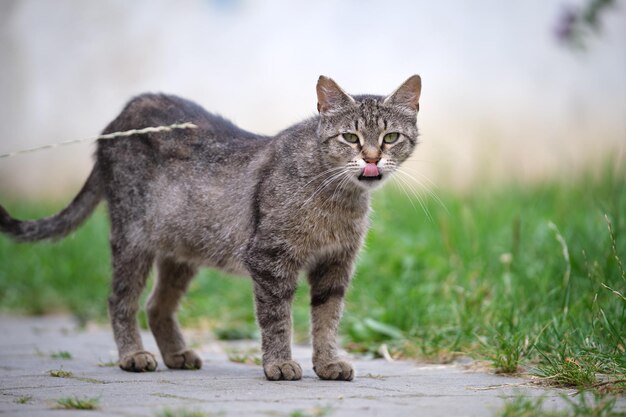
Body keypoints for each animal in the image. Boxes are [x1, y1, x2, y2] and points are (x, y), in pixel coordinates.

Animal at [1, 74, 420, 380]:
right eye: (350, 137)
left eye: (390, 137)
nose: (371, 158)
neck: (338, 197)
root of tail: (119, 117)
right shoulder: (269, 258)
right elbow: (277, 318)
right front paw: (278, 363)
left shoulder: (335, 266)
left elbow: (327, 318)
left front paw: (327, 362)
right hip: (132, 237)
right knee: (120, 299)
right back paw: (133, 354)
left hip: (182, 249)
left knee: (156, 305)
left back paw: (176, 354)